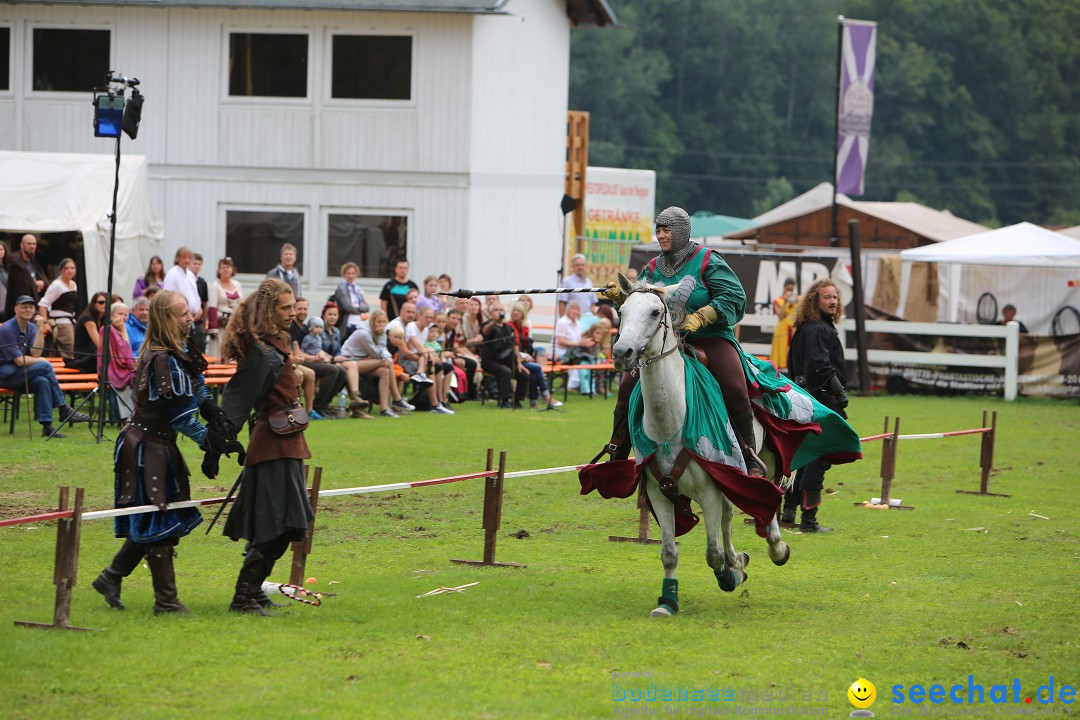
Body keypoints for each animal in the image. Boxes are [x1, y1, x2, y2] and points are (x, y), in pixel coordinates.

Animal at [613, 278, 790, 617]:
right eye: (622, 311)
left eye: (655, 312)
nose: (621, 352)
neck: (671, 420)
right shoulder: (659, 492)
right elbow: (670, 552)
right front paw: (667, 602)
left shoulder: (709, 489)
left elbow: (712, 553)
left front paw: (728, 577)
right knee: (728, 517)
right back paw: (739, 560)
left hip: (763, 461)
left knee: (768, 494)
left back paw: (775, 545)